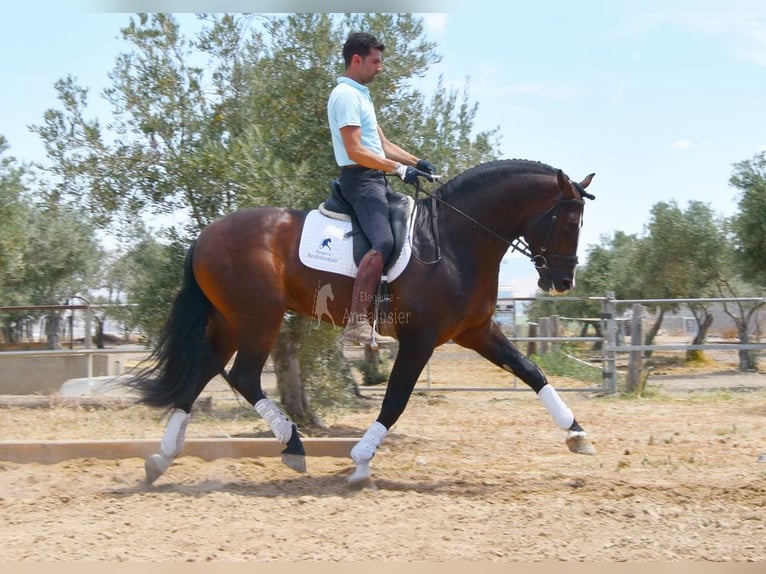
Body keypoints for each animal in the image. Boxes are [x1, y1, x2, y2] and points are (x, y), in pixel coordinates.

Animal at [129, 160, 600, 488]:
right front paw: (360, 461)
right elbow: (395, 401)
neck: (452, 242)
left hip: (228, 322)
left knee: (200, 376)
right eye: (568, 221)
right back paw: (292, 444)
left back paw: (161, 459)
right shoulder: (419, 339)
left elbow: (531, 372)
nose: (563, 282)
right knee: (243, 375)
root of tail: (204, 237)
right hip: (258, 318)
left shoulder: (476, 331)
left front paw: (577, 434)